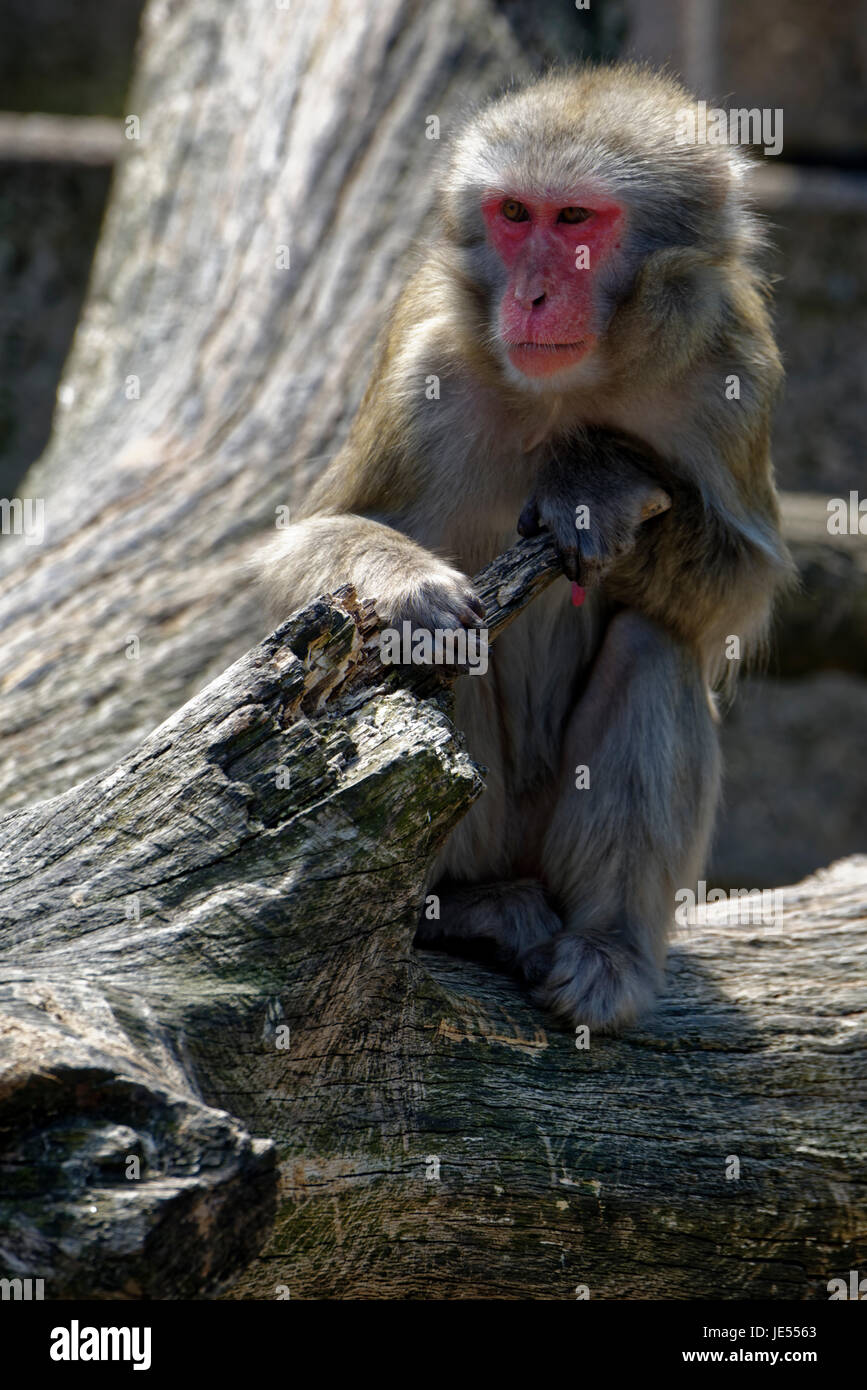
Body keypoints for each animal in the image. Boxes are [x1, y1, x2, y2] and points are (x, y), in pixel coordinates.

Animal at [254, 65, 789, 1034]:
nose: (530, 295)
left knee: (652, 642)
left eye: (574, 220)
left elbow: (739, 591)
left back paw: (606, 951)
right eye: (512, 214)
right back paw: (461, 910)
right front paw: (405, 584)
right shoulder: (421, 365)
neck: (575, 384)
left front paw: (598, 479)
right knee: (448, 659)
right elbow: (303, 553)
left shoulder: (734, 367)